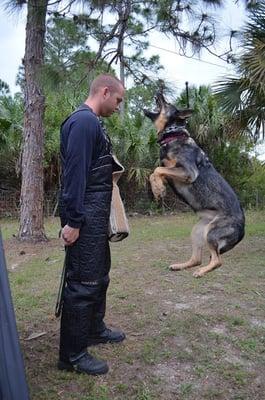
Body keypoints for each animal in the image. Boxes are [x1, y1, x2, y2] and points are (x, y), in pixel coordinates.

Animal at [143, 92, 244, 276]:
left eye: (166, 102)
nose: (159, 92)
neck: (174, 134)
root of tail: (243, 229)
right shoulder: (172, 173)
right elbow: (155, 172)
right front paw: (158, 189)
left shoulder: (188, 172)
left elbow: (157, 169)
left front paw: (158, 189)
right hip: (198, 231)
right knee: (197, 259)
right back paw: (180, 266)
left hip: (211, 233)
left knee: (217, 261)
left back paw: (201, 271)